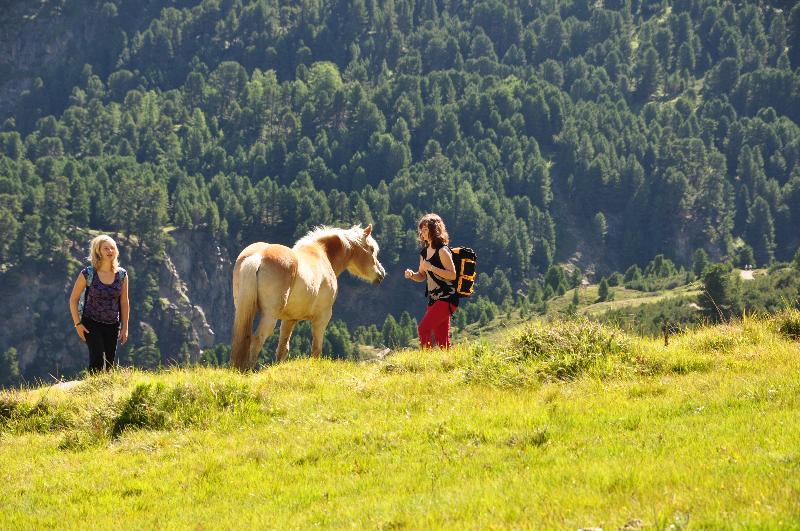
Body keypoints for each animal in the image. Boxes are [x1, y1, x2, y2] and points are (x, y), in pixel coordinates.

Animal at [230, 224, 386, 370]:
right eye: (372, 249)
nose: (381, 274)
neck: (322, 254)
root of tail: (258, 256)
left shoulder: (289, 319)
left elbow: (283, 348)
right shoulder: (322, 317)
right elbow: (316, 349)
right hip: (269, 316)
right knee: (257, 339)